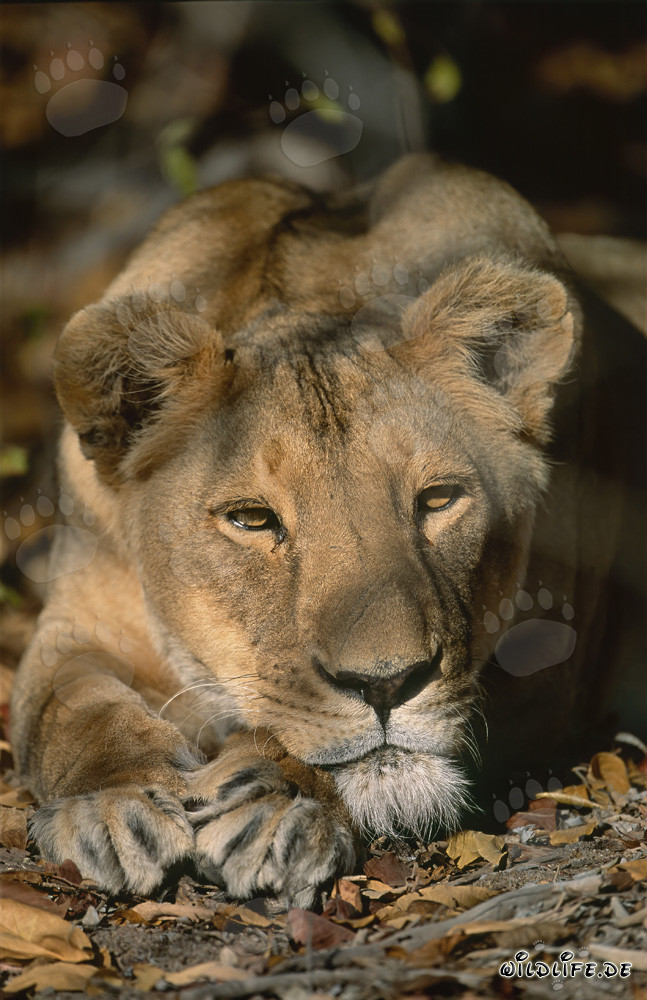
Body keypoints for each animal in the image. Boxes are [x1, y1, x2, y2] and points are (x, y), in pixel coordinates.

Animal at [10, 154, 645, 905]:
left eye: (438, 500)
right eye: (253, 520)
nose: (386, 686)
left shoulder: (555, 656)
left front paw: (275, 802)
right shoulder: (79, 620)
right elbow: (72, 713)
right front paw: (113, 806)